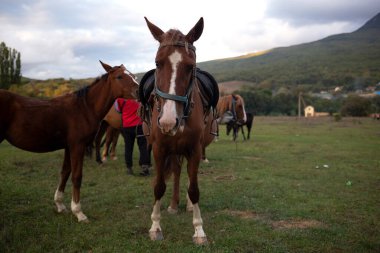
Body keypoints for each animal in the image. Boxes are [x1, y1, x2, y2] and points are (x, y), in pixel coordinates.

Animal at [0, 60, 139, 221]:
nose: (139, 91)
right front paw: (78, 212)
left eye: (132, 75)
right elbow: (76, 176)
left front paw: (60, 205)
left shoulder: (68, 147)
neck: (84, 108)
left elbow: (65, 173)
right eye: (119, 77)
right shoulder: (77, 146)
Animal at [141, 16, 217, 244]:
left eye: (190, 67)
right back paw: (174, 205)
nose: (168, 121)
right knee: (175, 171)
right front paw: (155, 226)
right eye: (158, 63)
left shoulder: (194, 150)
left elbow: (194, 188)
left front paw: (199, 229)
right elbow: (158, 186)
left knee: (189, 176)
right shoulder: (159, 149)